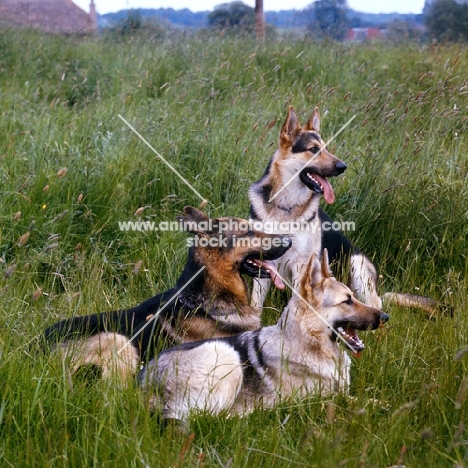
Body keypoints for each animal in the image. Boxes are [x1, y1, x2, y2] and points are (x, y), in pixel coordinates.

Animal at [138, 250, 388, 422]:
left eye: (352, 297)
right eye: (347, 301)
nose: (386, 317)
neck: (307, 340)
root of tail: (142, 384)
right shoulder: (320, 398)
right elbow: (354, 401)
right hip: (223, 352)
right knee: (209, 416)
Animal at [249, 104, 438, 312]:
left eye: (326, 148)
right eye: (313, 149)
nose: (342, 167)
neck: (286, 206)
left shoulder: (301, 267)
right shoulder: (264, 264)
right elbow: (255, 305)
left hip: (356, 265)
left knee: (374, 305)